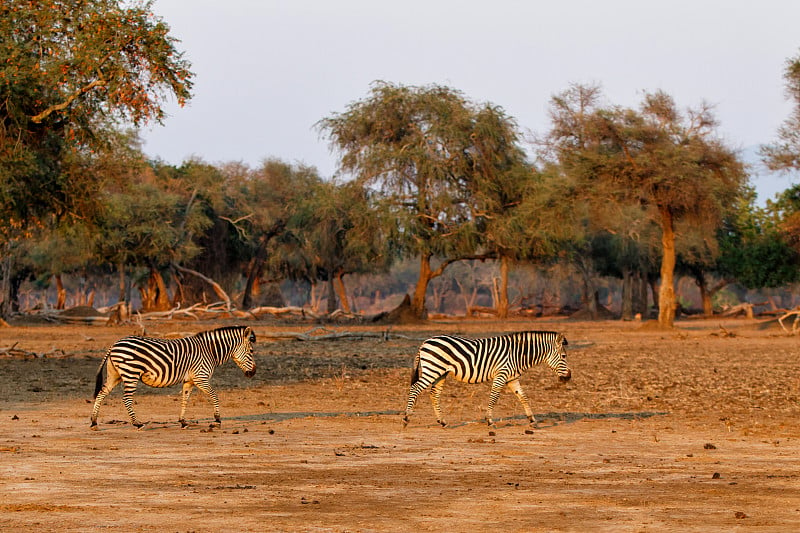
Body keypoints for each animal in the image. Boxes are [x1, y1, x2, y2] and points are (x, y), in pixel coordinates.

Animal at [92, 324, 258, 428]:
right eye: (251, 351)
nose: (253, 373)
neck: (209, 351)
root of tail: (114, 344)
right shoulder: (201, 378)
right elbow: (214, 396)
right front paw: (217, 420)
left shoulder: (189, 381)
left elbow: (185, 399)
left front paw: (183, 421)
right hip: (131, 373)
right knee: (126, 398)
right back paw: (138, 423)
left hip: (115, 375)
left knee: (101, 393)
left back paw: (94, 422)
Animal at [404, 328, 572, 428]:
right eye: (564, 356)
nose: (569, 377)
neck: (517, 354)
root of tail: (425, 342)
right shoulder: (501, 374)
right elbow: (494, 397)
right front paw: (490, 421)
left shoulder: (512, 378)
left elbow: (523, 397)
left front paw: (532, 420)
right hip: (432, 369)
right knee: (415, 388)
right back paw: (406, 418)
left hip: (441, 372)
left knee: (434, 393)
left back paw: (442, 421)